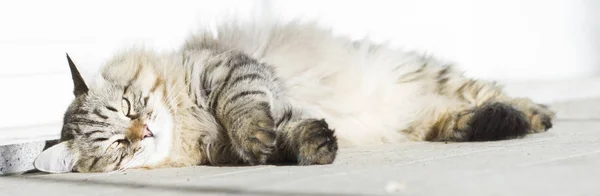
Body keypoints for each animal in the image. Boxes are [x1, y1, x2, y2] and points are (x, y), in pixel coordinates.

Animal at [35, 20, 556, 173]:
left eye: (128, 108)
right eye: (116, 145)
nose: (143, 132)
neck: (185, 124)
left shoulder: (233, 72)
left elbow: (246, 109)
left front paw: (264, 135)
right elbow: (287, 135)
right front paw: (316, 147)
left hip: (435, 78)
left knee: (490, 92)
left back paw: (537, 115)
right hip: (427, 119)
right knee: (453, 120)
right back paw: (489, 122)